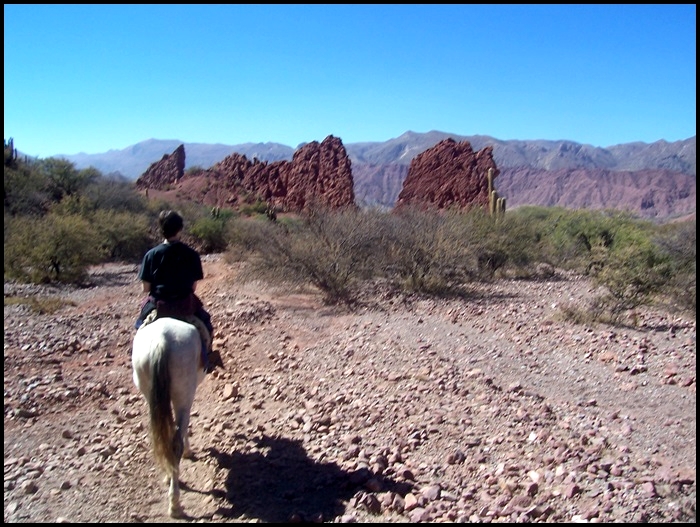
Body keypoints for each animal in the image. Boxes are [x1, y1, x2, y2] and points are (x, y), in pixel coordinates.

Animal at [131, 316, 206, 516]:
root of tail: (161, 341)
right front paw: (188, 452)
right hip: (184, 394)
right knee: (175, 442)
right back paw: (175, 504)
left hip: (152, 396)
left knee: (163, 436)